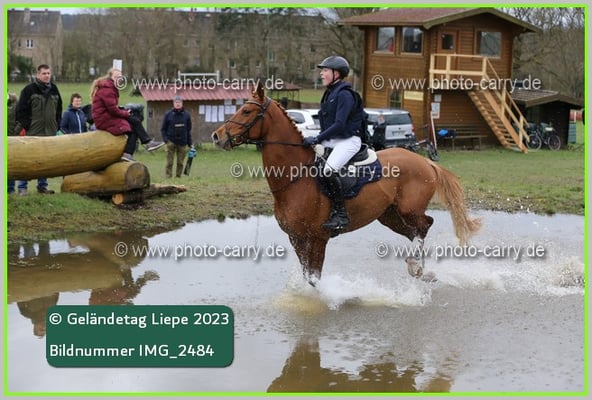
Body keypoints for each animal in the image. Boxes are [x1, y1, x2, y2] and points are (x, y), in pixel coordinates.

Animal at [212, 82, 481, 284]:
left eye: (247, 112)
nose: (217, 136)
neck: (294, 177)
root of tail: (426, 162)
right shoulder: (297, 238)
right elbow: (307, 276)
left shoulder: (317, 238)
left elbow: (314, 279)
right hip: (390, 215)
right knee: (415, 232)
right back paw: (420, 270)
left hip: (409, 209)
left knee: (425, 225)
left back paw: (416, 266)